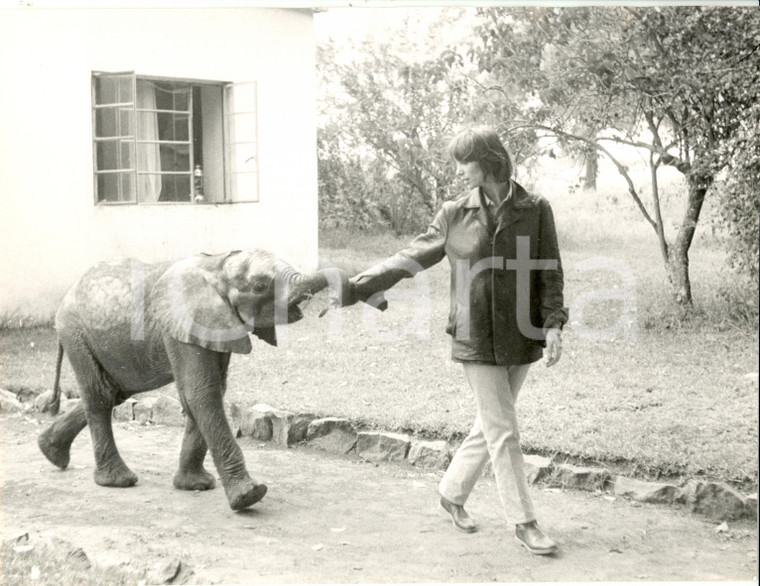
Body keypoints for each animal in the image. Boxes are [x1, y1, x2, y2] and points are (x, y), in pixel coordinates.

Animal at [35, 249, 344, 508]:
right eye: (259, 287)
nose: (330, 304)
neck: (218, 266)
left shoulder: (216, 325)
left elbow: (208, 391)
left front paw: (196, 486)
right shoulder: (184, 323)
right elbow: (201, 392)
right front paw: (249, 497)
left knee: (114, 390)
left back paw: (50, 452)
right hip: (75, 332)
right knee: (100, 396)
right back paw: (117, 481)